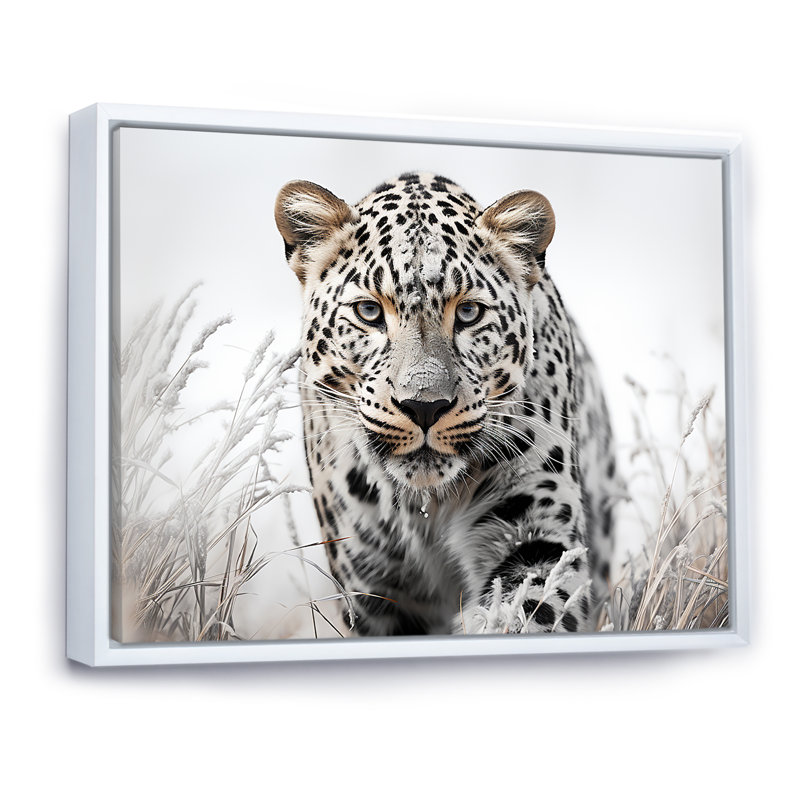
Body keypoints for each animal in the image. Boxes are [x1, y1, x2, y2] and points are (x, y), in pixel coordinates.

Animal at [274, 171, 617, 636]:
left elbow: (527, 610)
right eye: (369, 312)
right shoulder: (371, 582)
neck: (425, 508)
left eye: (469, 313)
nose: (424, 406)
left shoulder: (535, 530)